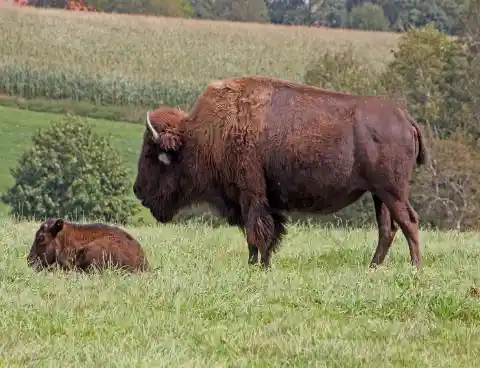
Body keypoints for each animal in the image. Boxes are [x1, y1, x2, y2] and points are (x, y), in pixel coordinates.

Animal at [133, 75, 430, 270]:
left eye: (150, 154)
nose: (137, 190)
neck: (204, 133)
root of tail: (405, 118)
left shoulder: (250, 195)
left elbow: (256, 231)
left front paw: (255, 266)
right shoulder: (263, 200)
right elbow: (269, 231)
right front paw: (261, 263)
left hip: (392, 192)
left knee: (409, 222)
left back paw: (414, 268)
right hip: (379, 195)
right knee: (388, 228)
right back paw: (373, 268)